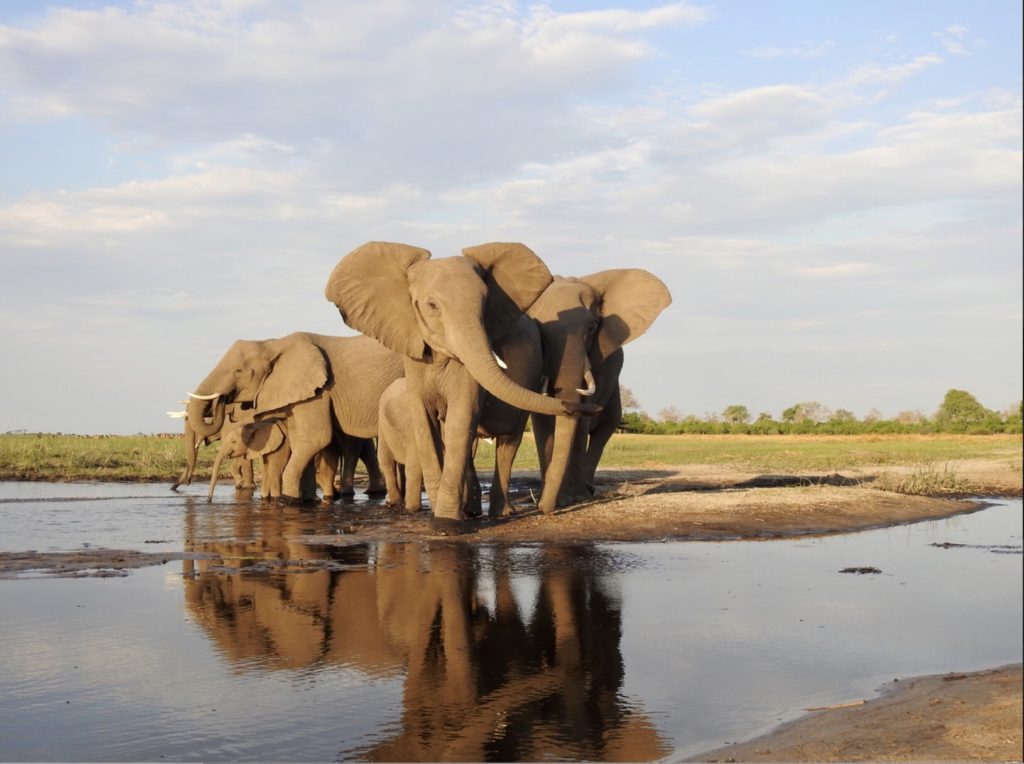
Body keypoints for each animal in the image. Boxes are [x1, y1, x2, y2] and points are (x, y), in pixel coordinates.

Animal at [183, 331, 403, 502]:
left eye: (238, 371)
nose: (221, 399)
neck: (273, 343)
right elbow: (299, 440)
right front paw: (307, 499)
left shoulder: (319, 391)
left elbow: (316, 437)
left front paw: (288, 500)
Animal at [324, 241, 600, 532]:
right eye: (432, 305)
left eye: (486, 303)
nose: (594, 406)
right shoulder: (414, 352)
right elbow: (425, 422)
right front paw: (443, 518)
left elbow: (461, 416)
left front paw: (446, 523)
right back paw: (472, 511)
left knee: (507, 443)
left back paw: (499, 513)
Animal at [528, 270, 671, 513]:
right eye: (536, 327)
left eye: (592, 328)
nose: (544, 508)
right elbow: (541, 416)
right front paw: (551, 498)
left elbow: (582, 418)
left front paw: (573, 499)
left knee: (605, 427)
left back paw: (588, 489)